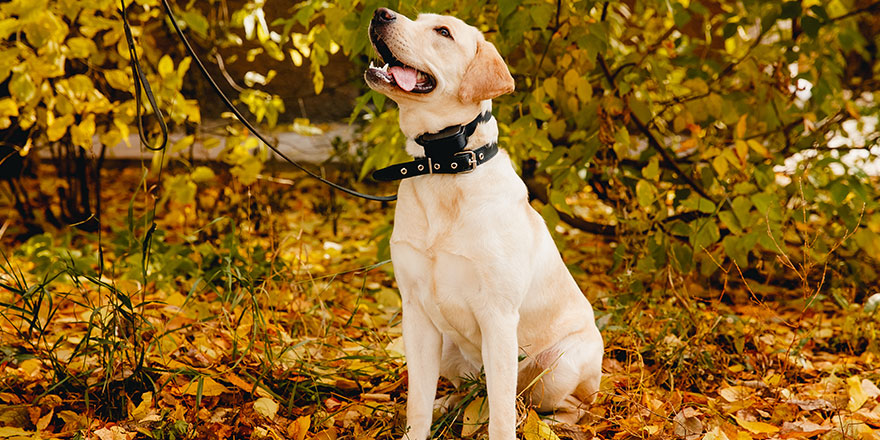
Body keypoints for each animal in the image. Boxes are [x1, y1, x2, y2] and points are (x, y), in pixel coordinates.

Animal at [364, 7, 604, 440]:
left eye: (443, 32)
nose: (381, 13)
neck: (444, 166)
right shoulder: (416, 314)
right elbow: (417, 402)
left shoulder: (499, 317)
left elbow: (502, 416)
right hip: (446, 345)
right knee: (471, 393)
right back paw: (450, 404)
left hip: (557, 363)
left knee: (554, 405)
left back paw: (556, 424)